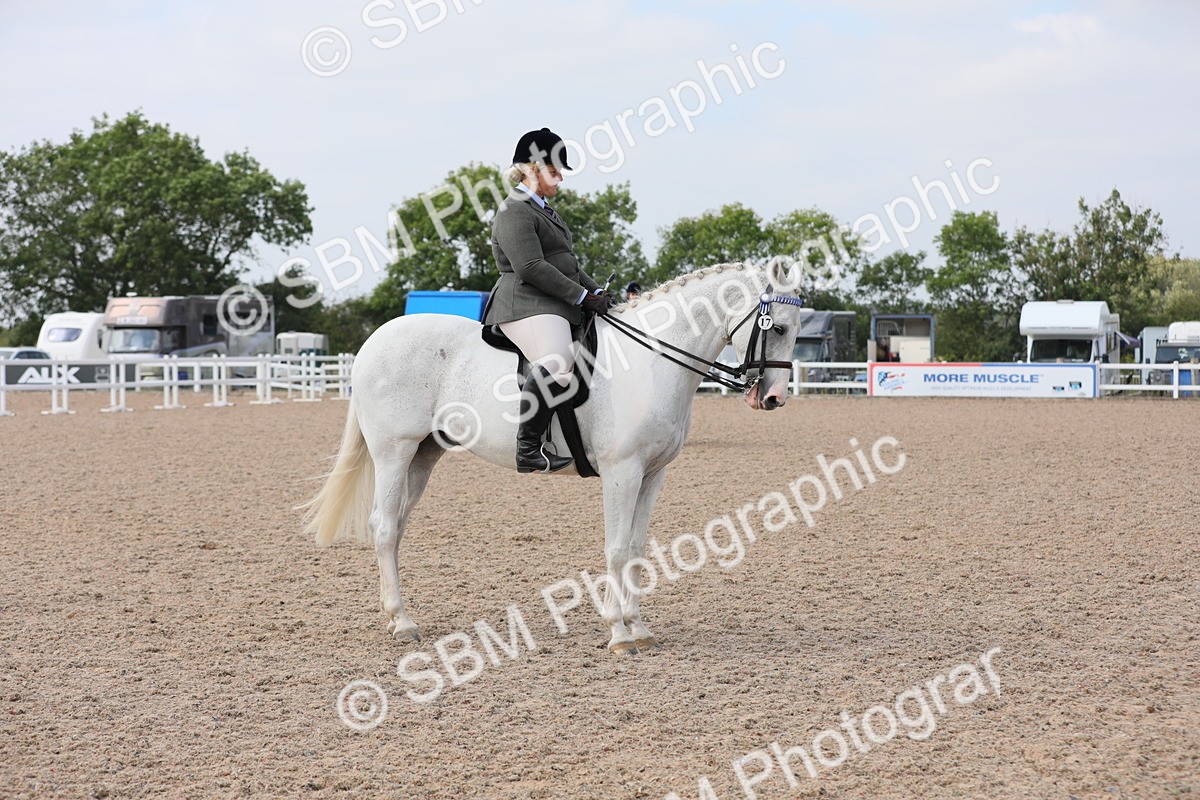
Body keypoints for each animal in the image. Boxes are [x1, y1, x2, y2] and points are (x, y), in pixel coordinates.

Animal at [303, 262, 806, 654]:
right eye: (778, 328)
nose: (774, 398)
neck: (652, 361)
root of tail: (373, 342)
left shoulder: (653, 474)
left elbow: (637, 549)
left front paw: (640, 628)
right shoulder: (622, 472)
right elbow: (616, 548)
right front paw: (618, 633)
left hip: (425, 455)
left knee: (396, 528)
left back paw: (396, 616)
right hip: (394, 451)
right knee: (384, 527)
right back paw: (403, 623)